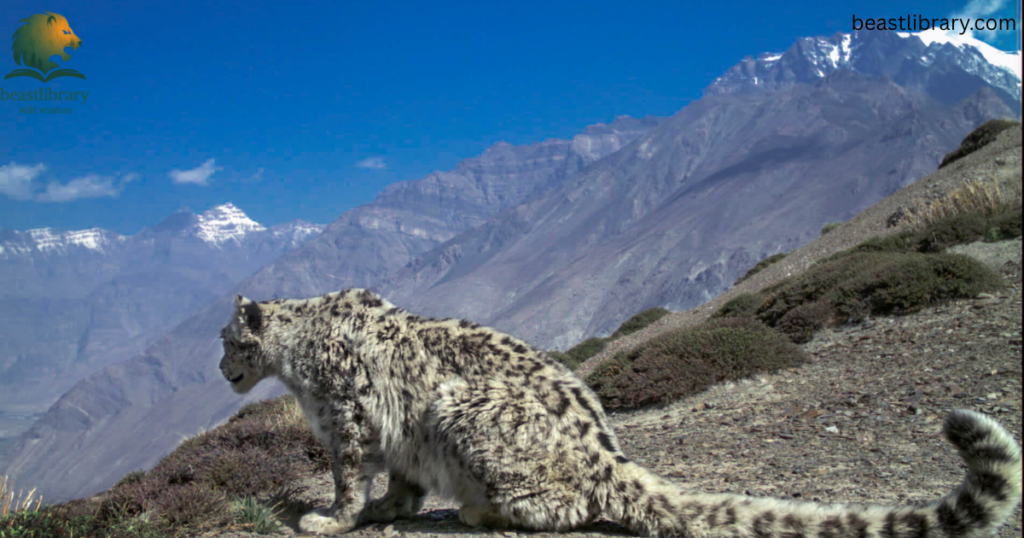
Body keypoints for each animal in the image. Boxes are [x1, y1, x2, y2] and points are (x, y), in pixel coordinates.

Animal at [219, 288, 1022, 537]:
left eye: (228, 340)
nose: (222, 371)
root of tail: (607, 446)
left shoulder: (345, 421)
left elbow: (348, 478)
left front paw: (330, 518)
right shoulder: (395, 440)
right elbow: (401, 481)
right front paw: (391, 509)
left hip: (460, 411)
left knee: (569, 506)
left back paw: (484, 509)